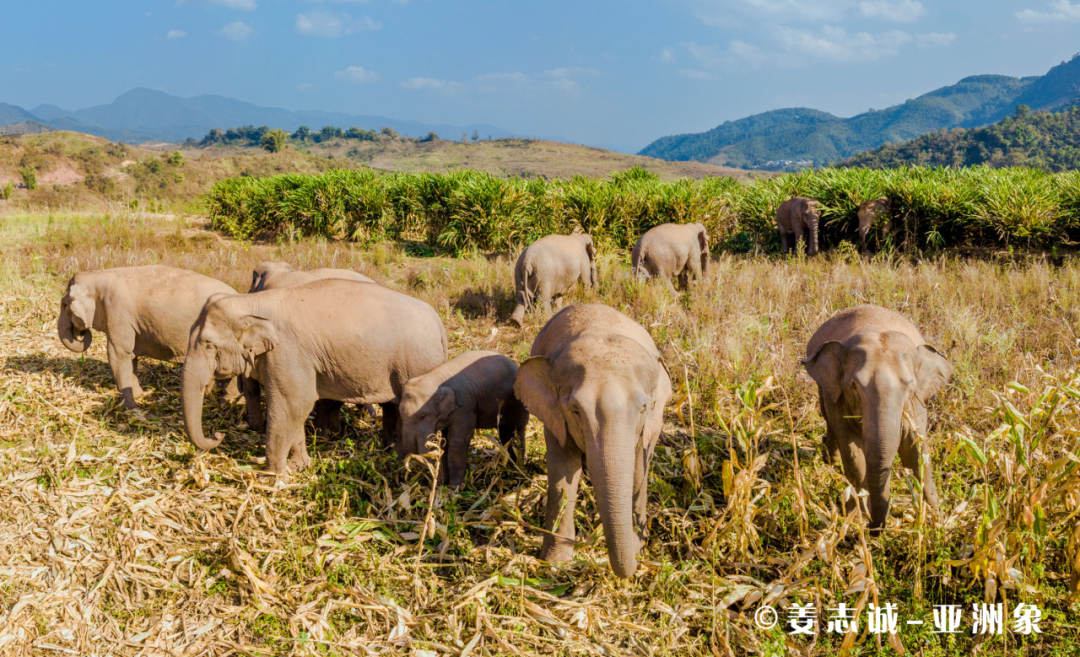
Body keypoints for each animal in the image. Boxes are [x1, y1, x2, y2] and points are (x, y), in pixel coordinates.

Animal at [56, 264, 238, 408]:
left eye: (64, 305)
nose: (81, 333)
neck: (98, 274)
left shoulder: (117, 311)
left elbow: (118, 354)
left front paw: (131, 406)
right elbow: (131, 356)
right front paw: (138, 395)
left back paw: (227, 402)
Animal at [181, 276, 447, 471]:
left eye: (208, 345)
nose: (218, 434)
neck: (252, 302)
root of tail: (439, 324)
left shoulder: (288, 353)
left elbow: (294, 403)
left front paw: (274, 475)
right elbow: (295, 408)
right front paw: (300, 466)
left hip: (418, 364)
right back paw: (390, 451)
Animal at [399, 350, 529, 488]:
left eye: (422, 416)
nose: (409, 469)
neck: (434, 376)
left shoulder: (465, 408)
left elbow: (458, 441)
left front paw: (454, 487)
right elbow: (445, 442)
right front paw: (443, 483)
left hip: (519, 400)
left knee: (518, 430)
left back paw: (519, 468)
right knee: (506, 433)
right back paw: (511, 466)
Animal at [511, 304, 669, 579]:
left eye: (644, 408)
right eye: (575, 410)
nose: (634, 563)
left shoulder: (650, 424)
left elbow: (639, 471)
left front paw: (638, 545)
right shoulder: (556, 417)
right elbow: (562, 478)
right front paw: (555, 563)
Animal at [803, 304, 954, 531]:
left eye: (910, 385)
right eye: (854, 385)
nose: (875, 527)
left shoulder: (917, 401)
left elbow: (916, 448)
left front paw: (937, 519)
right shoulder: (839, 395)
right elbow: (852, 452)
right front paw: (857, 518)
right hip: (824, 385)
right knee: (829, 420)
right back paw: (831, 463)